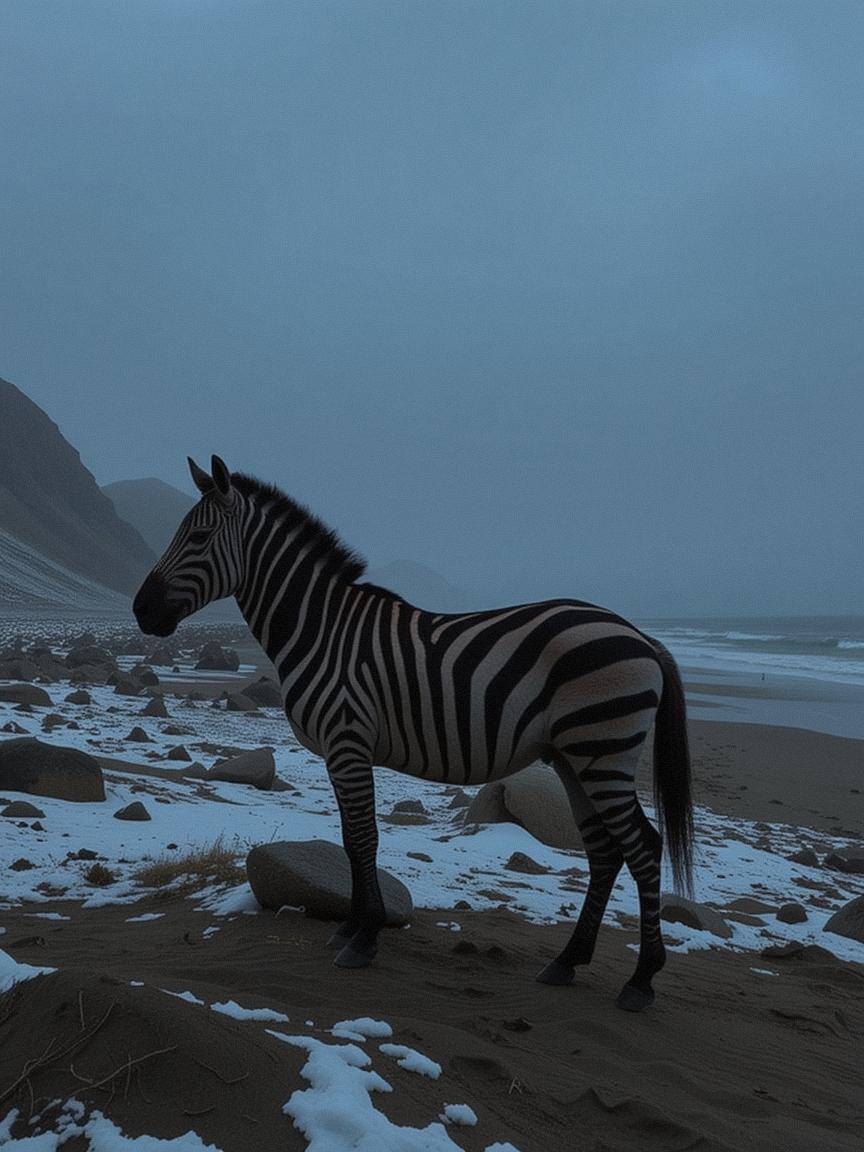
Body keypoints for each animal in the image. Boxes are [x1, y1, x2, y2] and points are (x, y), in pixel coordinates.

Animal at [134, 455, 694, 1012]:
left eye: (198, 537)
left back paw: (641, 979)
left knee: (643, 847)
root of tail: (638, 634)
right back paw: (567, 961)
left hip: (602, 752)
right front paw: (351, 928)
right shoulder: (339, 751)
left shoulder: (348, 740)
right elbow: (350, 838)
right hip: (574, 758)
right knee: (605, 852)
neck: (321, 630)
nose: (140, 610)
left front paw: (364, 938)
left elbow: (363, 837)